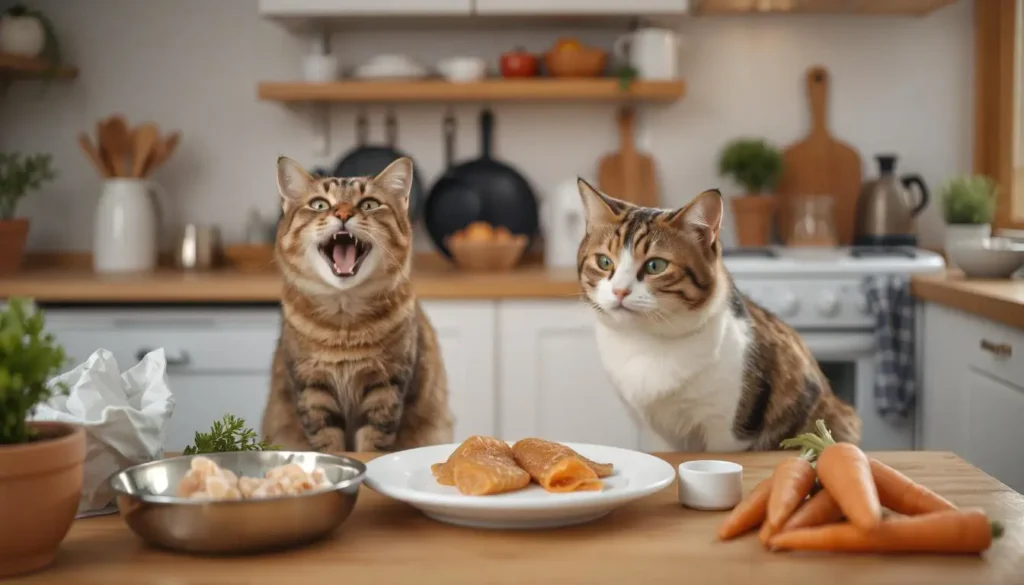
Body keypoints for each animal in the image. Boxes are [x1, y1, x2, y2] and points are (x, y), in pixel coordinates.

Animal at [573, 178, 860, 452]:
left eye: (656, 265)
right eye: (604, 262)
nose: (620, 291)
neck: (646, 341)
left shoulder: (727, 428)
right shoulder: (655, 431)